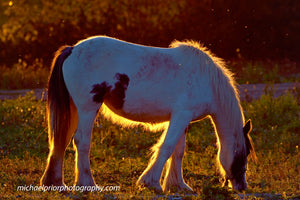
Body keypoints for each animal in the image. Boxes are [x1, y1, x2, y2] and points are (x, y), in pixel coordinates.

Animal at [39, 36, 255, 192]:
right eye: (244, 153)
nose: (242, 187)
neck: (206, 81)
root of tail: (73, 49)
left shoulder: (182, 119)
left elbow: (178, 151)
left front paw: (178, 185)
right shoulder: (181, 116)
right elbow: (167, 147)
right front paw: (151, 182)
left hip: (74, 109)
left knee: (61, 140)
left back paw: (55, 183)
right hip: (87, 109)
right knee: (81, 142)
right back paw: (87, 184)